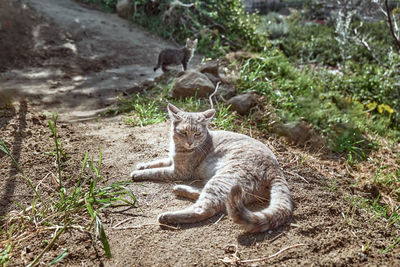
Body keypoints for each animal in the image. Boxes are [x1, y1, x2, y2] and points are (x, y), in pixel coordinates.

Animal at [130, 103, 292, 233]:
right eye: (183, 132)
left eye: (197, 133)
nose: (190, 142)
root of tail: (276, 170)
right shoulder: (172, 160)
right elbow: (158, 162)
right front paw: (141, 165)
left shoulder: (178, 172)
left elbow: (156, 171)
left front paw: (138, 174)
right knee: (212, 200)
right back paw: (180, 189)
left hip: (223, 179)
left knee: (204, 209)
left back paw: (168, 216)